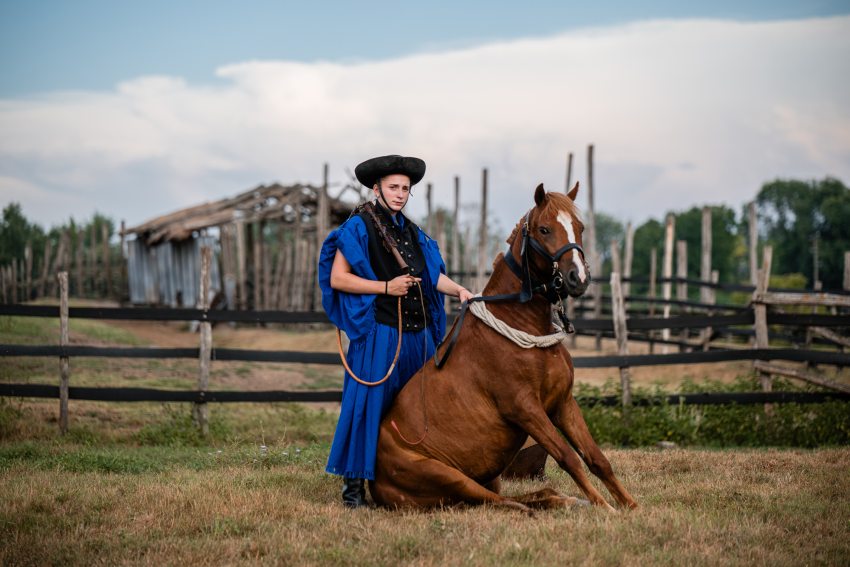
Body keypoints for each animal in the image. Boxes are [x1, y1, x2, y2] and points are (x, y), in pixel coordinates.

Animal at [372, 183, 636, 516]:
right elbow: (569, 458)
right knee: (497, 501)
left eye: (580, 227)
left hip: (489, 476)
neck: (524, 327)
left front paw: (629, 504)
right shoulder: (525, 409)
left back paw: (561, 499)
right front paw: (604, 507)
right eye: (544, 229)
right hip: (450, 476)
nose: (579, 278)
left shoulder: (562, 403)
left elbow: (596, 458)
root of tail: (374, 483)